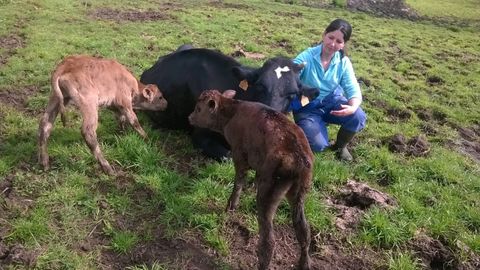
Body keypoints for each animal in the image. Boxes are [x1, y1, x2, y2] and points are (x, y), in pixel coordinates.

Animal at [37, 54, 167, 175]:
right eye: (160, 97)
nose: (167, 103)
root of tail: (65, 66)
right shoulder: (125, 103)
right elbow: (133, 121)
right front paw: (147, 138)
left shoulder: (116, 107)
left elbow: (121, 119)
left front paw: (123, 134)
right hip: (90, 104)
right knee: (88, 131)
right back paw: (107, 168)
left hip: (57, 99)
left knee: (45, 124)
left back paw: (45, 163)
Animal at [188, 90, 316, 270]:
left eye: (199, 109)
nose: (190, 117)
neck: (232, 112)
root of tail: (299, 158)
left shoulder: (239, 154)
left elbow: (238, 181)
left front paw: (231, 206)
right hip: (299, 195)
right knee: (303, 230)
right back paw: (304, 263)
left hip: (268, 195)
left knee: (269, 240)